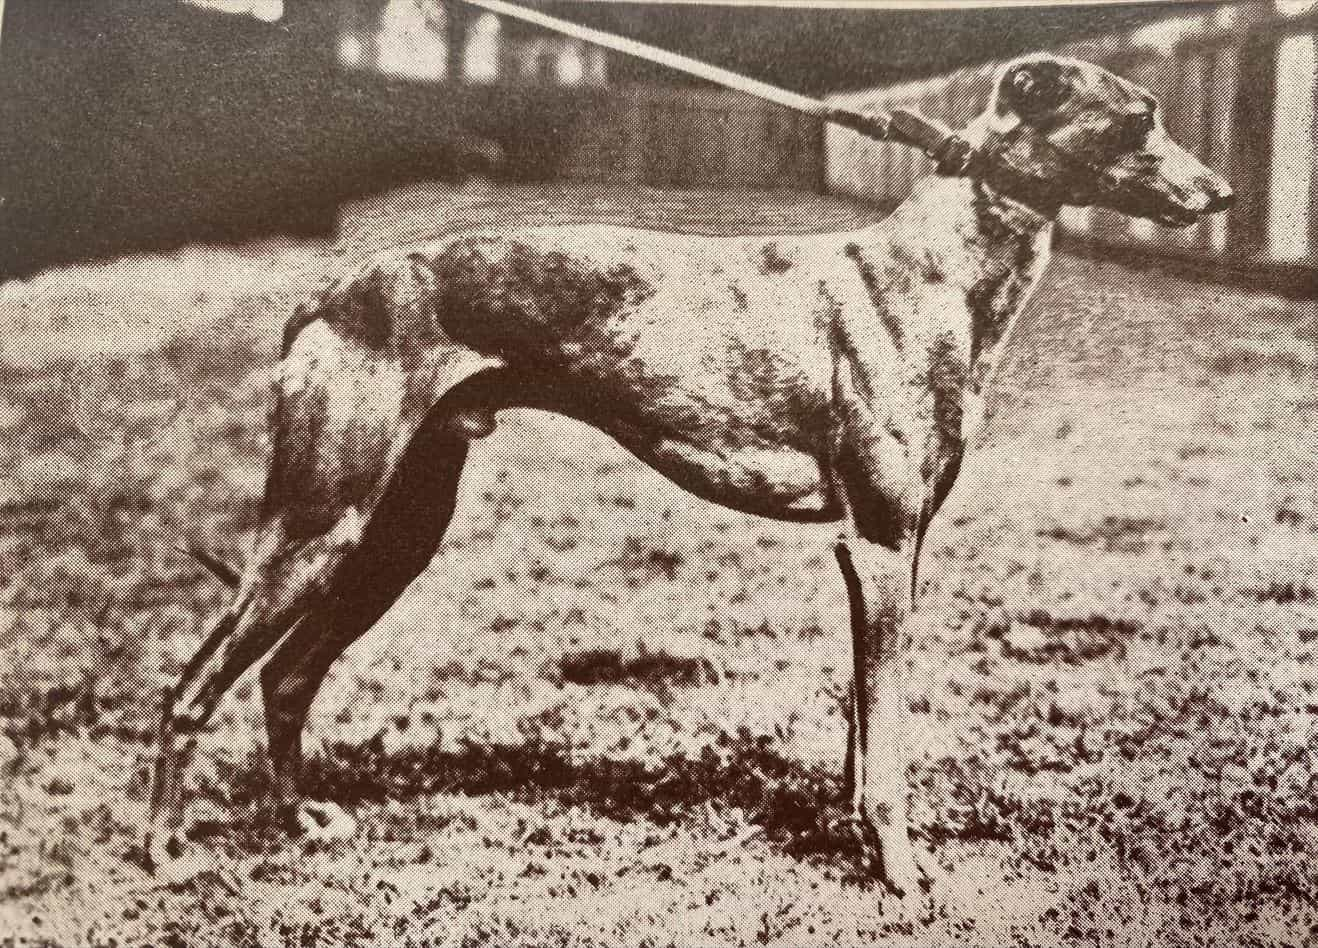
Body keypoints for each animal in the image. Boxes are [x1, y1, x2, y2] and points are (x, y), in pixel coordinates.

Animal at [146, 55, 1233, 901]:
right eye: (1137, 118)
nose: (1220, 194)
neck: (936, 270)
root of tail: (326, 293)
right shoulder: (879, 545)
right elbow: (885, 737)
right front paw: (899, 869)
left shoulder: (892, 551)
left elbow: (860, 716)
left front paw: (851, 838)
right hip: (320, 524)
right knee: (192, 688)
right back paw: (164, 846)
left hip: (396, 532)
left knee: (285, 677)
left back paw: (299, 821)